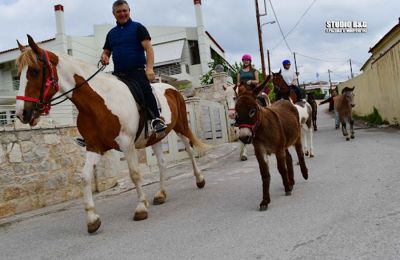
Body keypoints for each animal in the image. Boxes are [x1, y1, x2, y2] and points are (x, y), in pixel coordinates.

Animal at [14, 35, 208, 234]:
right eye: (18, 75)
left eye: (35, 71)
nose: (22, 113)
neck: (98, 103)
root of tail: (173, 89)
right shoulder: (94, 147)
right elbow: (85, 177)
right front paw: (92, 219)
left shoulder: (126, 143)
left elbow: (134, 174)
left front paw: (141, 207)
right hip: (156, 137)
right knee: (162, 163)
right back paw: (161, 194)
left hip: (180, 127)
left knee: (190, 150)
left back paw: (199, 179)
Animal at [234, 83, 306, 211]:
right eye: (237, 112)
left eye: (252, 111)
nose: (244, 137)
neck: (262, 128)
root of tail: (285, 100)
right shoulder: (260, 152)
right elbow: (265, 174)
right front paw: (265, 201)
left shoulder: (278, 150)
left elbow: (281, 169)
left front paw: (287, 188)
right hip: (284, 144)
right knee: (289, 158)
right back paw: (291, 181)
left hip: (296, 138)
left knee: (300, 154)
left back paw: (304, 174)